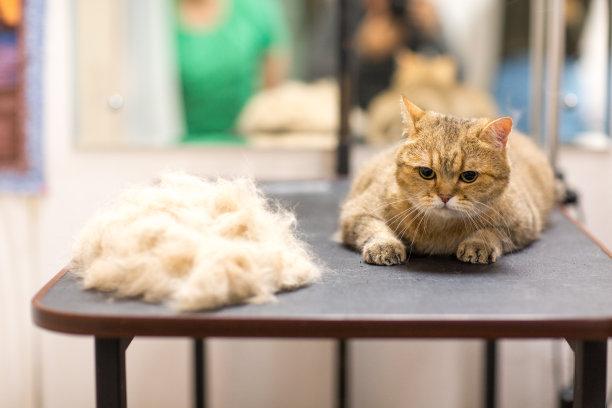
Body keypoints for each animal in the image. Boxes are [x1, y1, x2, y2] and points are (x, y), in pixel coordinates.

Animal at [340, 96, 556, 265]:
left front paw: (479, 242)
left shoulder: (523, 225)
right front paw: (385, 244)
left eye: (469, 176)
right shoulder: (355, 211)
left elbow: (493, 231)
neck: (440, 229)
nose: (444, 196)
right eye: (426, 172)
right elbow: (374, 227)